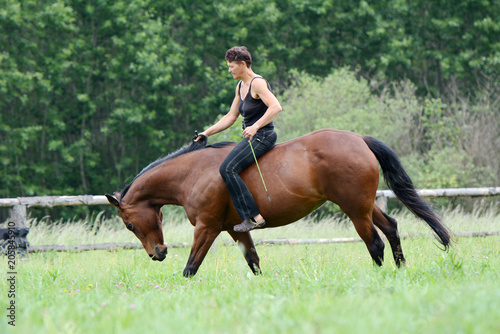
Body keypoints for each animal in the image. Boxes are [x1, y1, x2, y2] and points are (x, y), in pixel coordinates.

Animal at [104, 129, 450, 276]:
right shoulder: (234, 229)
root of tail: (358, 139)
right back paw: (401, 270)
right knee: (391, 228)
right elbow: (253, 262)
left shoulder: (207, 227)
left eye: (129, 224)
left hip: (354, 209)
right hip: (364, 205)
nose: (157, 254)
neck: (193, 173)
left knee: (375, 243)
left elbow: (190, 267)